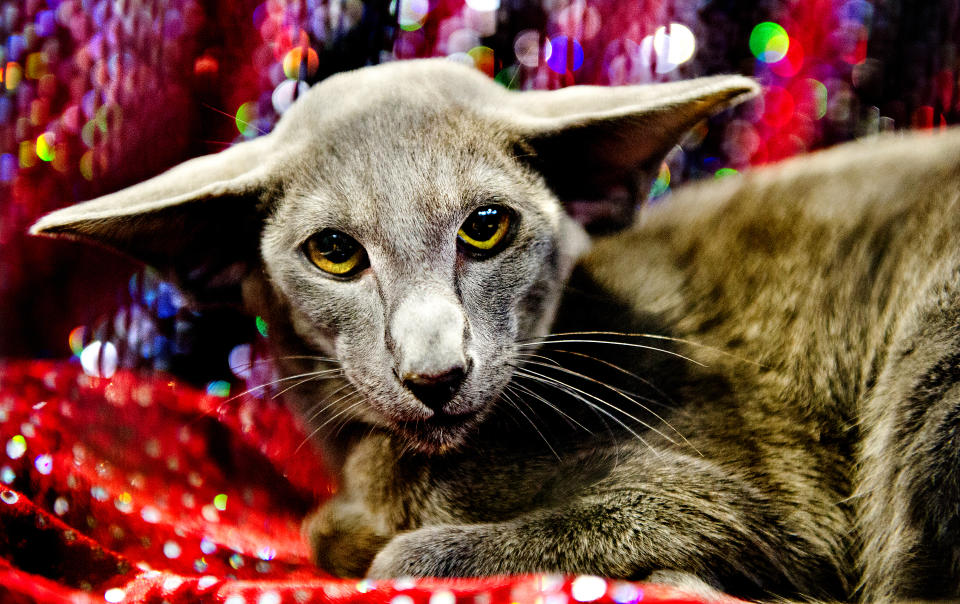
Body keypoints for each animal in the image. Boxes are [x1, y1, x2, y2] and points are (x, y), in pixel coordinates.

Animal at [26, 57, 960, 604]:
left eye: (485, 229)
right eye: (334, 253)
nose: (435, 372)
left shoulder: (754, 504)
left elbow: (404, 556)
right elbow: (327, 528)